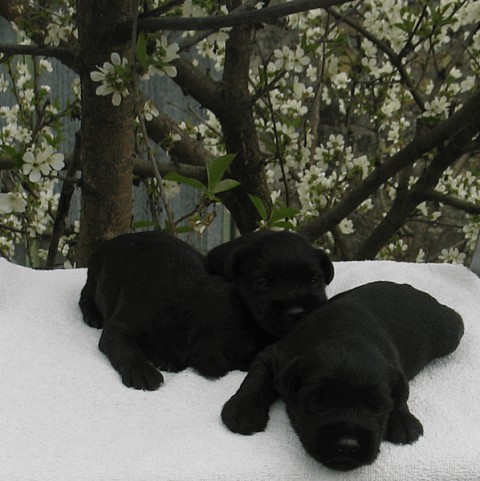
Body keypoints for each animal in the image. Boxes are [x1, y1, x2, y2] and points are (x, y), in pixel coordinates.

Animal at [80, 232, 272, 390]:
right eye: (250, 356)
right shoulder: (120, 326)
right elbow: (125, 347)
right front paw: (143, 372)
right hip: (95, 275)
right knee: (86, 295)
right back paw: (92, 314)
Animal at [222, 280, 464, 470]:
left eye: (379, 408)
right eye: (316, 402)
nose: (347, 445)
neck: (346, 333)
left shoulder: (396, 369)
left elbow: (402, 393)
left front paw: (403, 420)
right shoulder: (275, 356)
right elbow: (255, 378)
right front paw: (243, 410)